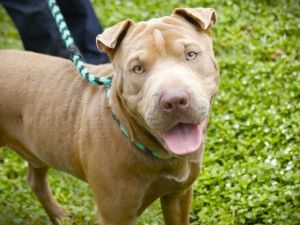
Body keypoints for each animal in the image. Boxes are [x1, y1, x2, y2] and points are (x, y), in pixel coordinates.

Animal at [0, 7, 218, 225]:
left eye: (191, 55)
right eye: (137, 68)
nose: (174, 100)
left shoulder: (179, 195)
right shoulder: (116, 215)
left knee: (35, 180)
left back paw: (59, 215)